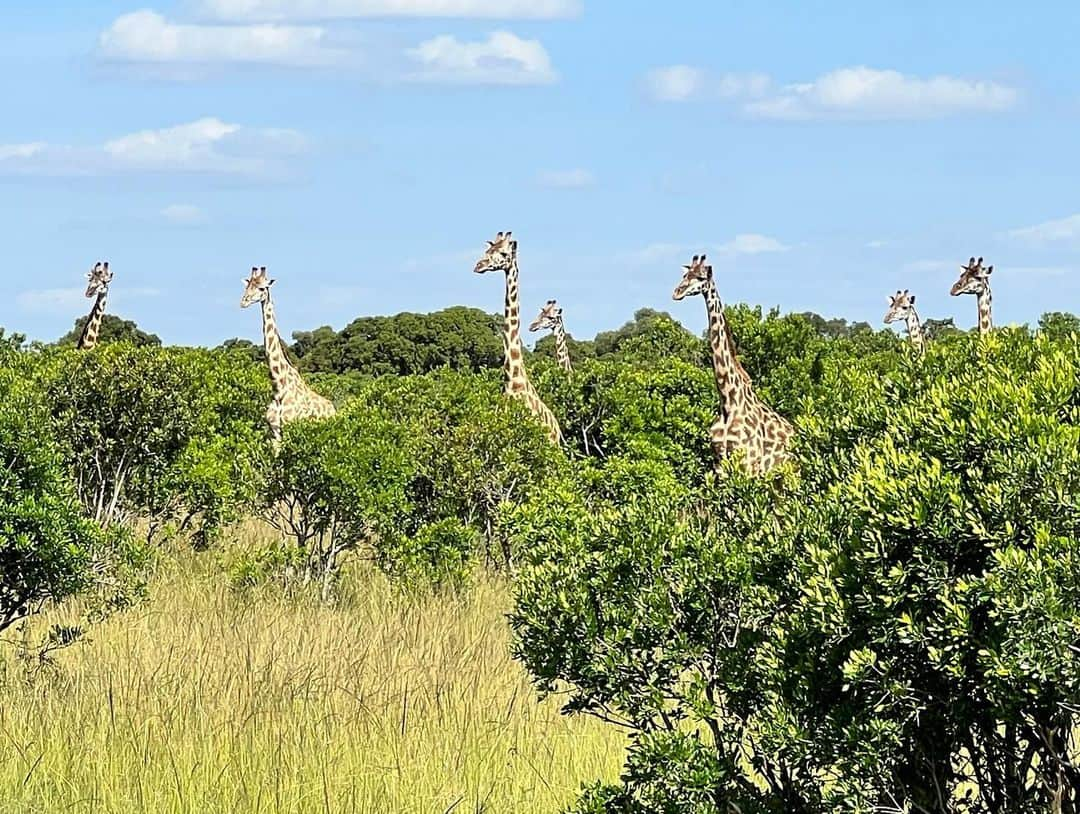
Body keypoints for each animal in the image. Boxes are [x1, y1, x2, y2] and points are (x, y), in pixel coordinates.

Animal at [239, 266, 332, 444]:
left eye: (262, 288)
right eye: (247, 286)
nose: (243, 301)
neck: (278, 386)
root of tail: (334, 409)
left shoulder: (292, 427)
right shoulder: (275, 432)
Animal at [673, 252, 794, 468]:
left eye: (701, 278)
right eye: (685, 274)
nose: (677, 292)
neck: (728, 402)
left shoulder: (748, 461)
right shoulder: (719, 462)